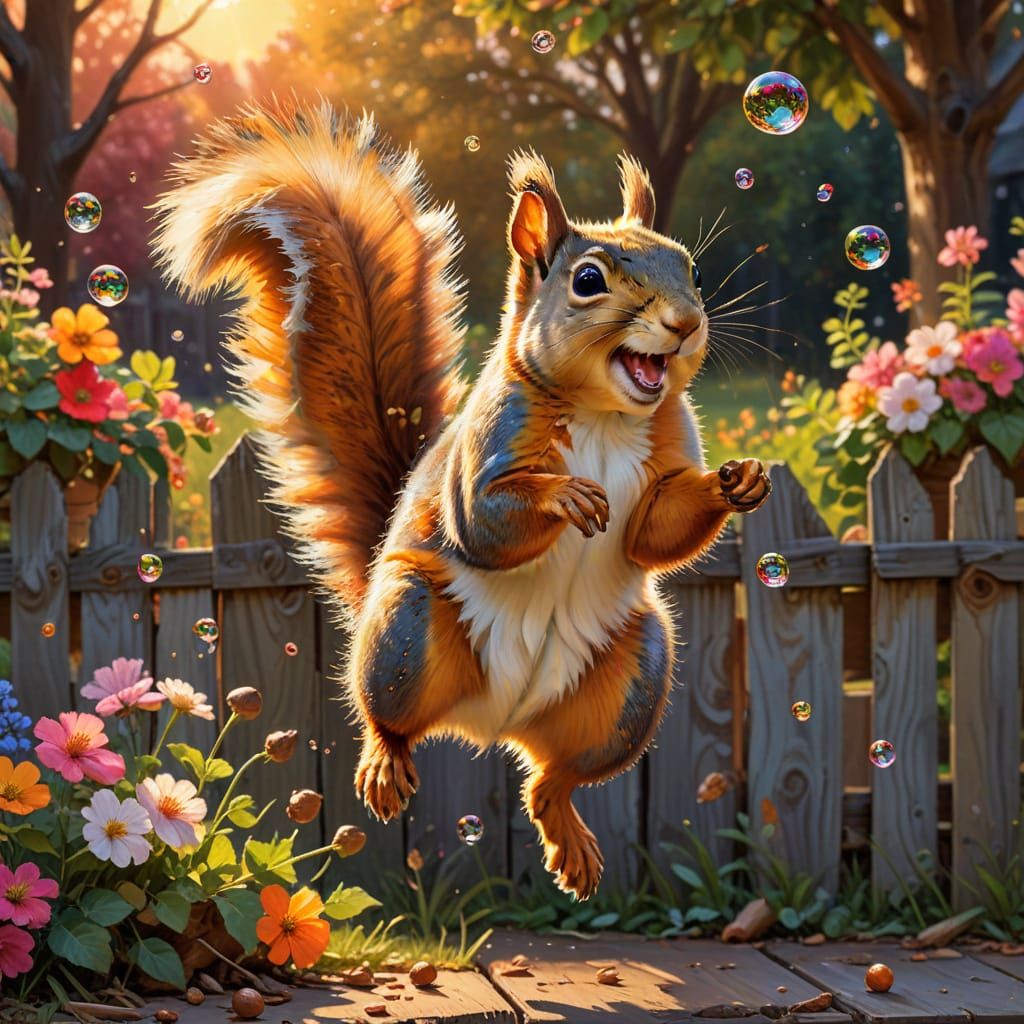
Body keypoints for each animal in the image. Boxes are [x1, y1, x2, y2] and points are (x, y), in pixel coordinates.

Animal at [153, 99, 771, 899]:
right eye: (588, 280)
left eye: (688, 267)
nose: (686, 323)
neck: (604, 415)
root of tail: (494, 723)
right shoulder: (487, 447)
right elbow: (484, 521)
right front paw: (568, 496)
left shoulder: (665, 459)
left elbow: (654, 530)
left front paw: (738, 481)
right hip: (406, 629)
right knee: (389, 716)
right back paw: (385, 764)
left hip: (635, 681)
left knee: (553, 780)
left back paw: (568, 835)